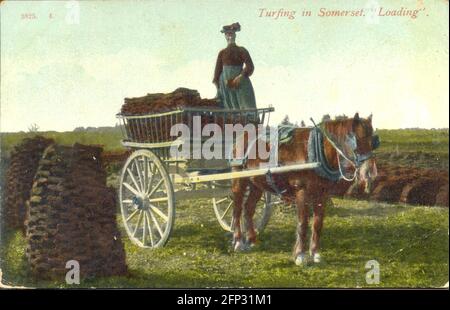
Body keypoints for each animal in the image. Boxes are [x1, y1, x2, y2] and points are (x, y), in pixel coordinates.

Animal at [230, 112, 378, 266]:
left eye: (373, 141)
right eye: (356, 140)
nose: (370, 173)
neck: (315, 152)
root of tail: (242, 136)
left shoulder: (322, 193)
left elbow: (318, 223)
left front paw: (315, 253)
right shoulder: (302, 191)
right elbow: (303, 223)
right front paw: (300, 255)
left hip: (256, 184)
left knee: (248, 209)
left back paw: (252, 239)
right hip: (239, 179)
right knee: (237, 208)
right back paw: (238, 241)